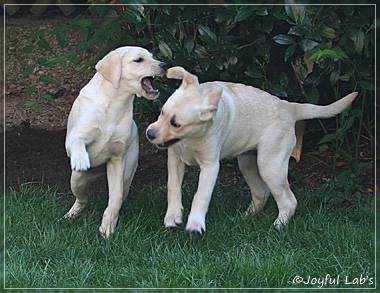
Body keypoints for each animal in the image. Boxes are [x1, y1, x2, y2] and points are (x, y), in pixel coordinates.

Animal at [65, 46, 166, 237]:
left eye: (153, 57)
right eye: (139, 60)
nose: (164, 65)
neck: (114, 103)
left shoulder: (117, 160)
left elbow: (115, 198)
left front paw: (107, 226)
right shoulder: (76, 136)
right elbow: (77, 141)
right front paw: (81, 159)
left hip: (127, 174)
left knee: (119, 194)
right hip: (76, 179)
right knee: (82, 198)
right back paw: (71, 214)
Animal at [146, 65, 360, 233]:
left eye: (176, 124)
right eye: (162, 112)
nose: (149, 134)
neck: (191, 138)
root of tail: (290, 107)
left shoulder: (210, 166)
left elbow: (202, 194)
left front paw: (195, 224)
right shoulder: (174, 157)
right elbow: (173, 186)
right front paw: (173, 216)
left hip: (270, 165)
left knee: (289, 201)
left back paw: (277, 226)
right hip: (247, 161)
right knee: (261, 193)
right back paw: (244, 218)